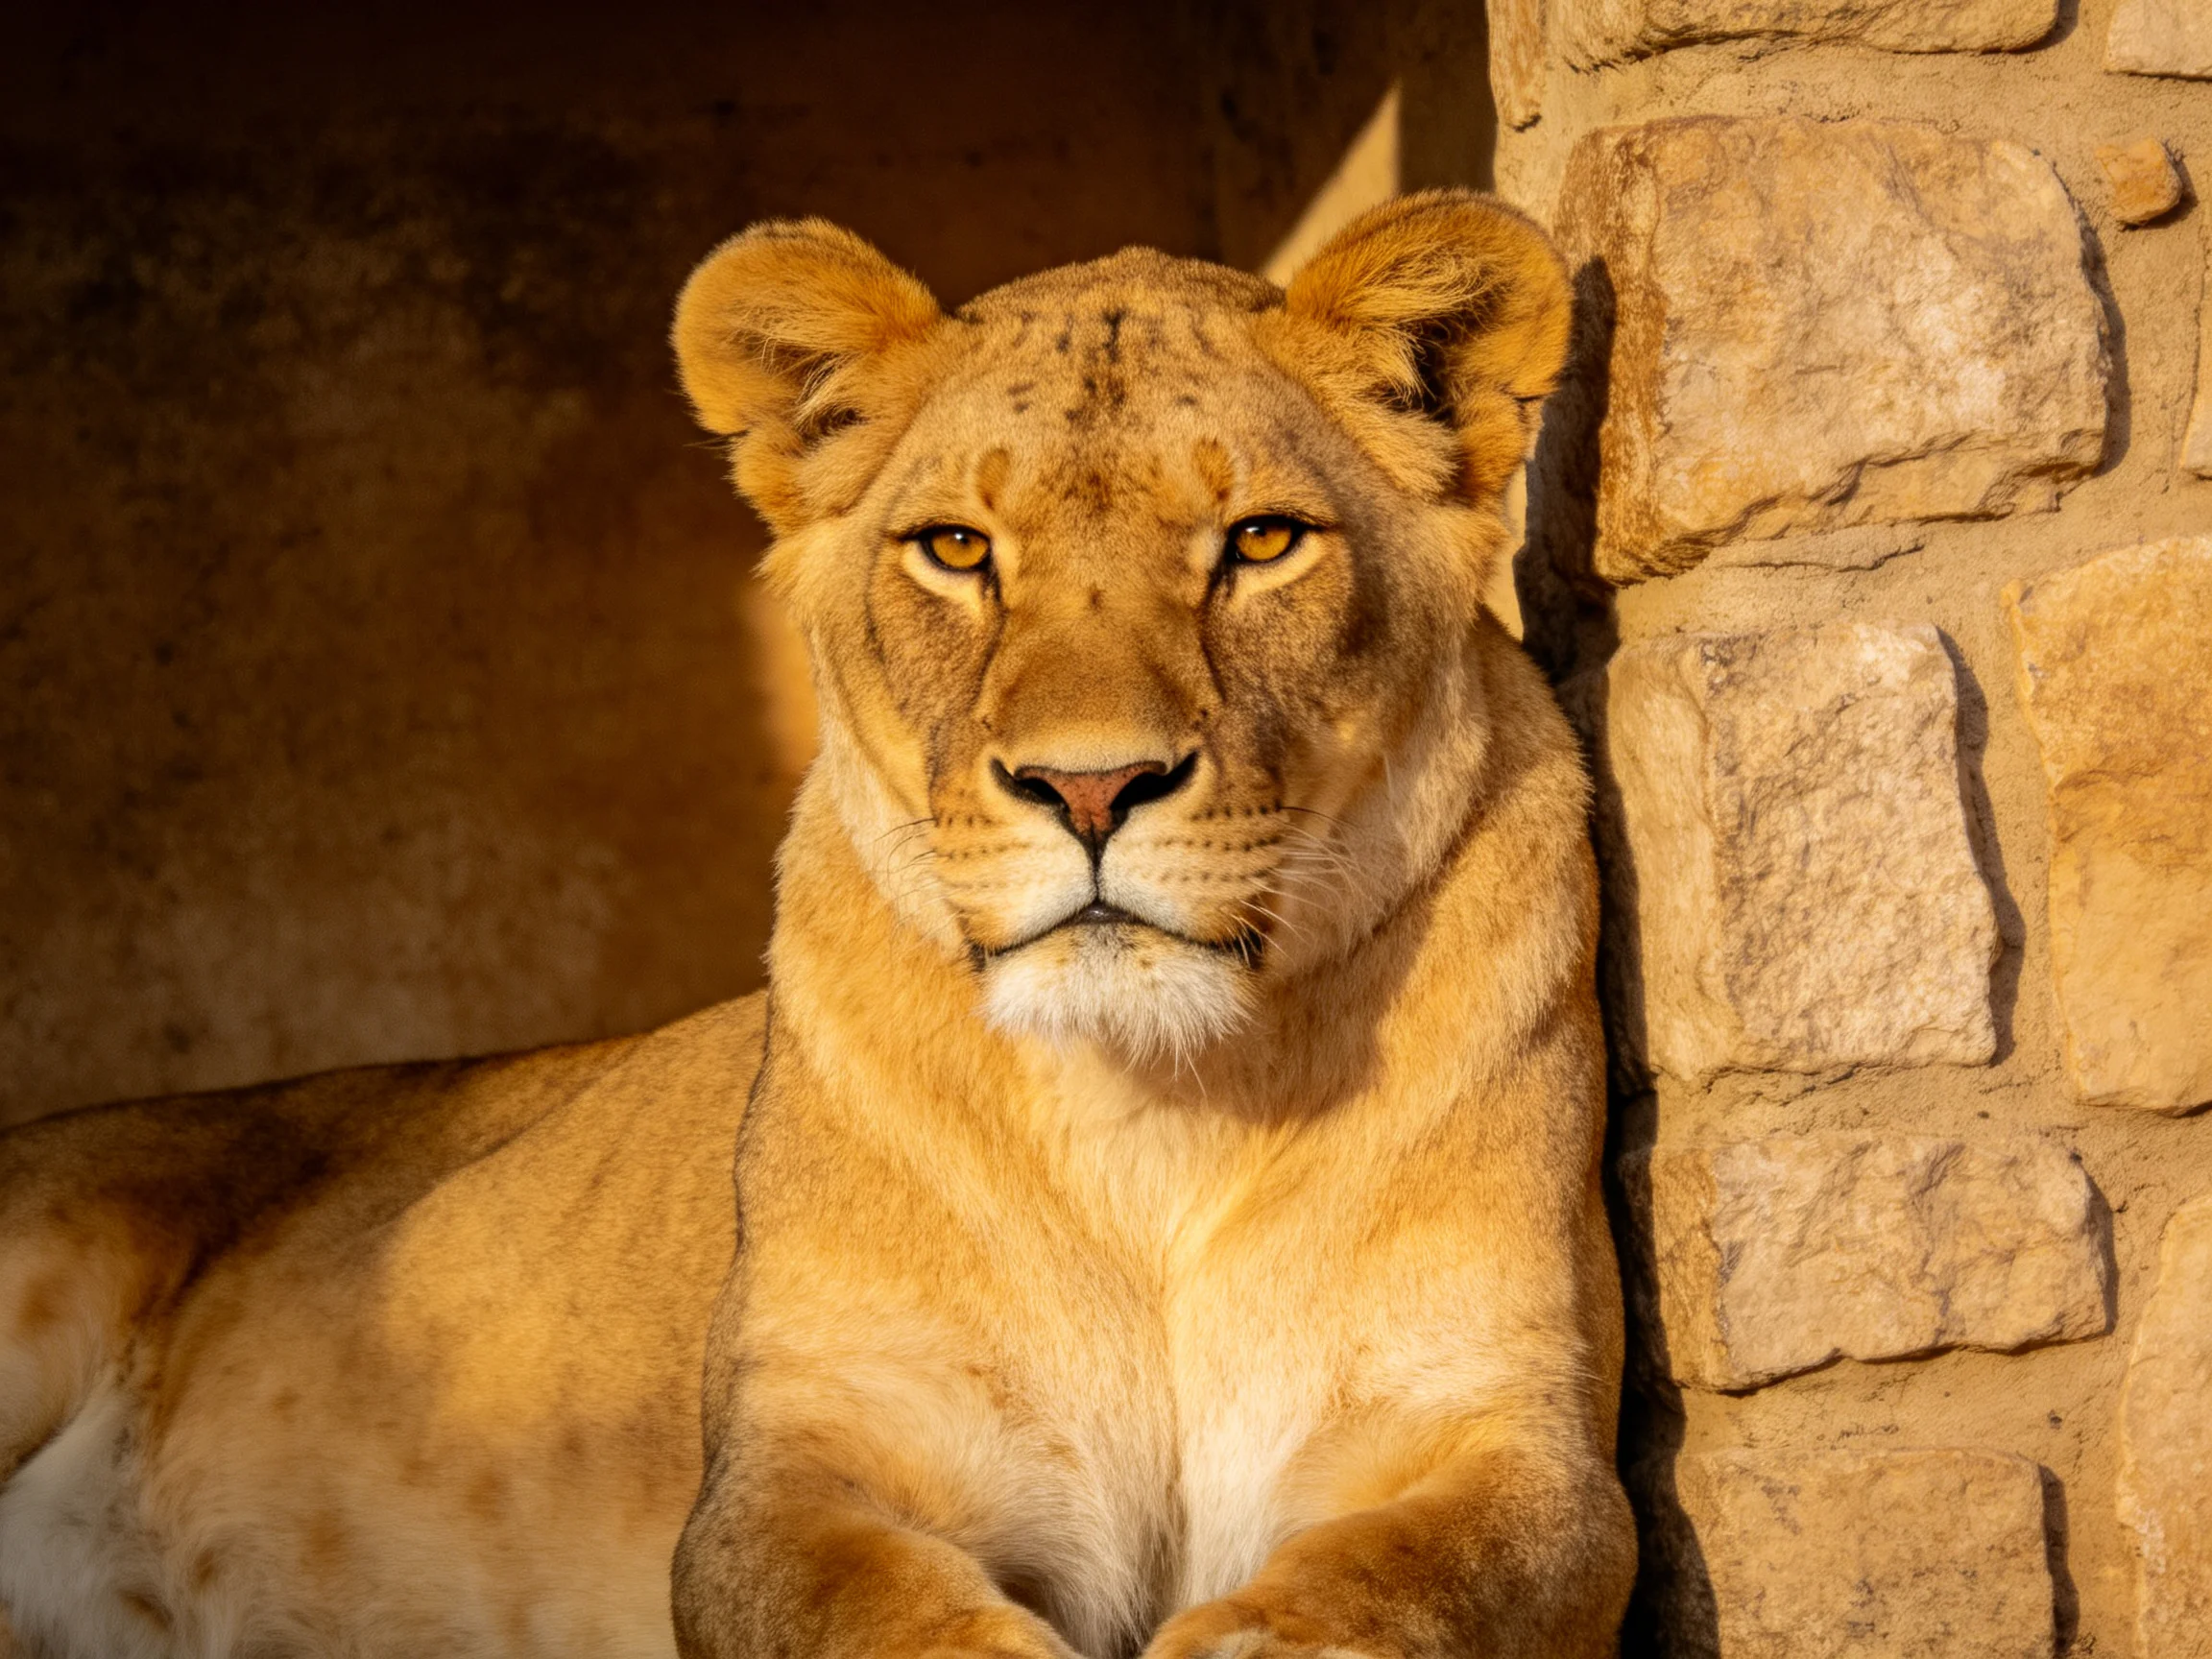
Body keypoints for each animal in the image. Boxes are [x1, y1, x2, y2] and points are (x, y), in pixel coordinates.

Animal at [0, 189, 1633, 1659]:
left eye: (1264, 542)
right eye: (958, 551)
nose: (1091, 786)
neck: (1152, 1117)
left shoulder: (1514, 1441)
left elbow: (1373, 1596)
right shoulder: (794, 1470)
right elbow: (890, 1620)